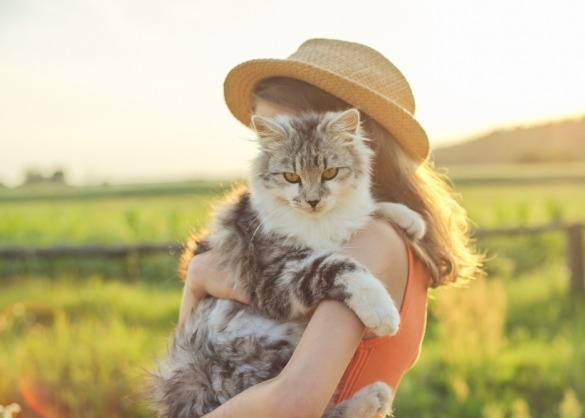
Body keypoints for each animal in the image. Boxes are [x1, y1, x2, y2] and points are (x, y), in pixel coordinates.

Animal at [149, 108, 424, 418]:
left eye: (329, 172)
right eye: (291, 176)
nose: (312, 201)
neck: (317, 223)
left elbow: (369, 209)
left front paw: (411, 219)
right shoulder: (273, 276)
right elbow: (337, 265)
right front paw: (384, 313)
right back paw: (373, 398)